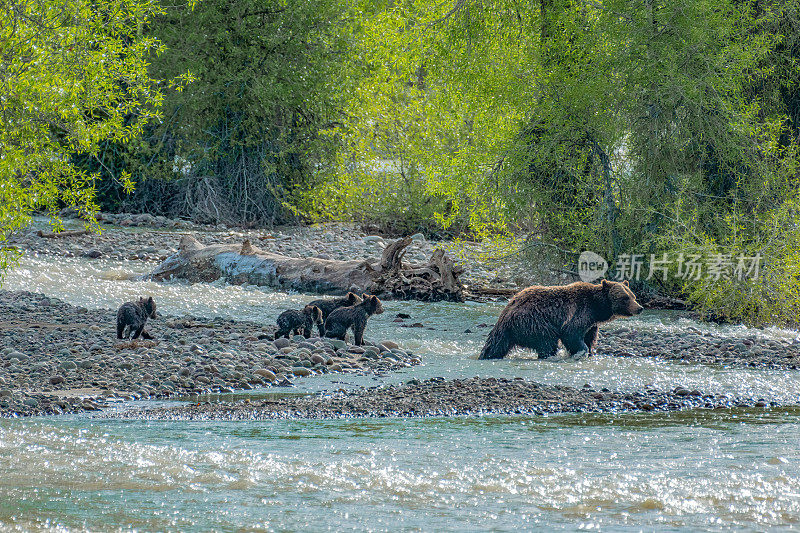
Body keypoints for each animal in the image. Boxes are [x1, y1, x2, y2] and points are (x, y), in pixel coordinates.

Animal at [476, 278, 644, 362]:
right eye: (625, 298)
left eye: (633, 296)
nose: (640, 308)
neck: (597, 307)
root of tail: (506, 311)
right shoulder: (579, 312)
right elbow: (572, 333)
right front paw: (580, 352)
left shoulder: (592, 323)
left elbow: (590, 337)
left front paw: (590, 351)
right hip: (533, 321)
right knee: (547, 341)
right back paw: (549, 355)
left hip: (509, 330)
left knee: (497, 345)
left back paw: (487, 355)